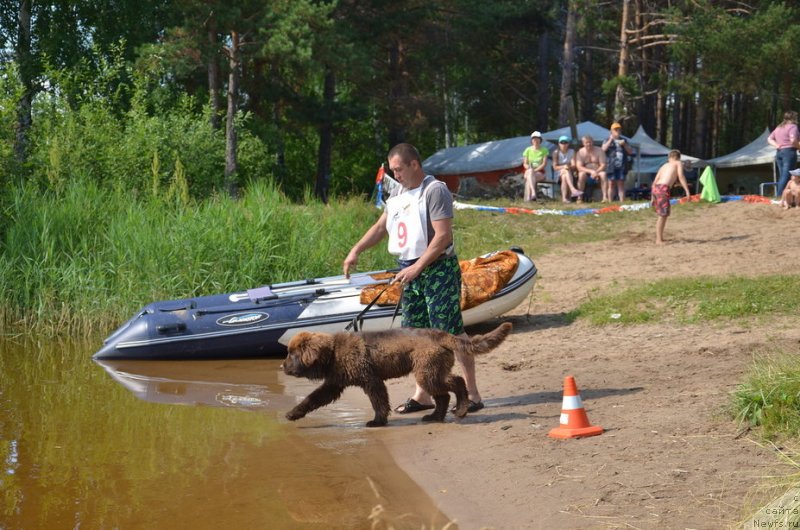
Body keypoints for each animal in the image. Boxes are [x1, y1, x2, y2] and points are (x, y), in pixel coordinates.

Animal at [282, 320, 510, 426]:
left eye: (292, 354)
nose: (282, 366)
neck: (333, 352)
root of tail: (439, 334)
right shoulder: (333, 384)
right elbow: (312, 399)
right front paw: (293, 413)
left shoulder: (371, 380)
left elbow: (379, 402)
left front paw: (377, 422)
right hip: (429, 372)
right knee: (443, 396)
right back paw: (434, 417)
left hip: (427, 372)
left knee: (458, 382)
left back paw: (462, 409)